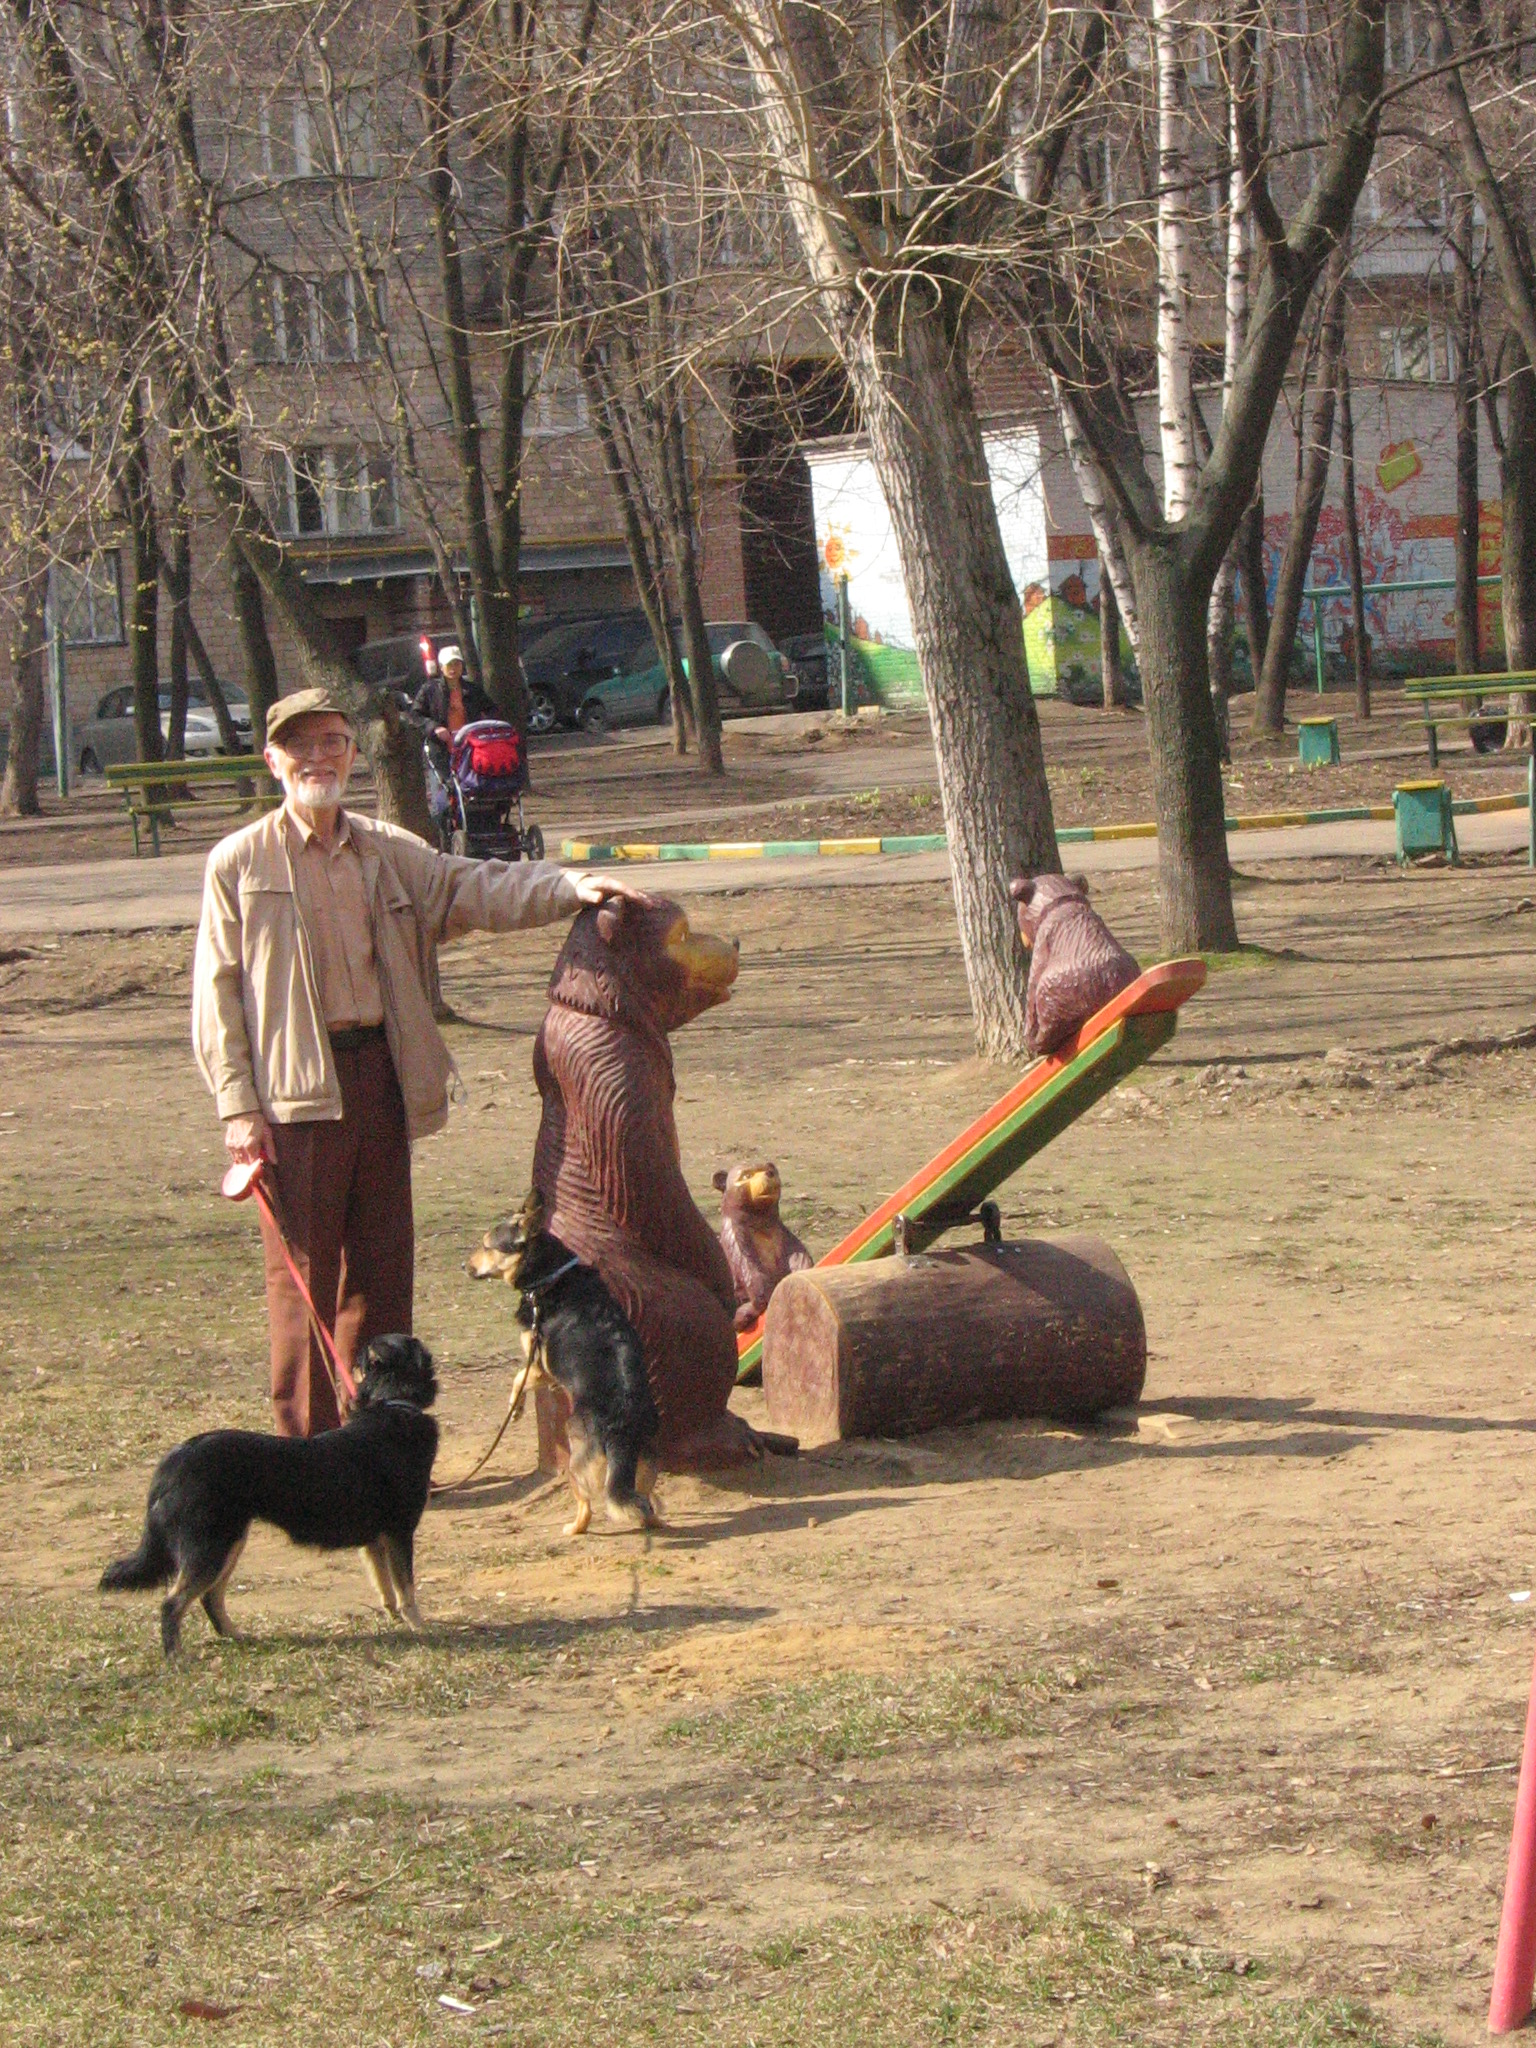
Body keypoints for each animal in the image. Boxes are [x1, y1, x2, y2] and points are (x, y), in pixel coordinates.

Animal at [99, 1335, 439, 1655]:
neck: (393, 1404)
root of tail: (173, 1460)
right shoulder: (398, 1533)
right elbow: (406, 1589)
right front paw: (420, 1628)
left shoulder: (375, 1541)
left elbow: (386, 1587)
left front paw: (394, 1619)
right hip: (211, 1546)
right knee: (173, 1604)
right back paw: (177, 1657)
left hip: (229, 1542)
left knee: (210, 1597)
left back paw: (236, 1636)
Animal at [467, 1189, 660, 1536]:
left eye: (487, 1245)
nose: (465, 1265)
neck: (550, 1274)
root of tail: (621, 1427)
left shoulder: (541, 1366)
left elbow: (518, 1378)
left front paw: (515, 1408)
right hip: (647, 1461)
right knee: (642, 1502)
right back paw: (654, 1519)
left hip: (574, 1461)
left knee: (587, 1502)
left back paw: (574, 1528)